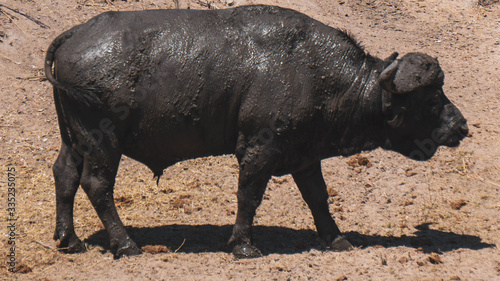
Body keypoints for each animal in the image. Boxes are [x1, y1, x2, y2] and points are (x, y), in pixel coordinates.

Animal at [44, 4, 468, 258]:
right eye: (432, 99)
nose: (461, 126)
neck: (315, 72)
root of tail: (75, 33)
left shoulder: (305, 155)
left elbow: (318, 198)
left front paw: (337, 239)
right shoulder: (260, 150)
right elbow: (249, 196)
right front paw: (243, 246)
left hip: (73, 139)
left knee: (64, 175)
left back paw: (70, 240)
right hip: (102, 142)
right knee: (97, 185)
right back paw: (127, 244)